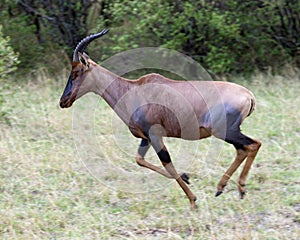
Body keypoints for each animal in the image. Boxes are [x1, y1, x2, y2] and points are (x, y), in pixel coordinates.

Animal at [59, 29, 260, 209]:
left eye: (76, 72)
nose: (63, 101)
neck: (134, 90)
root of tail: (249, 95)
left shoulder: (155, 135)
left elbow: (167, 163)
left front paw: (193, 201)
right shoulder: (146, 138)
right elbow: (140, 160)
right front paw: (187, 177)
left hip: (225, 131)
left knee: (253, 145)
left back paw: (238, 188)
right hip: (229, 132)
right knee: (242, 149)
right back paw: (224, 188)